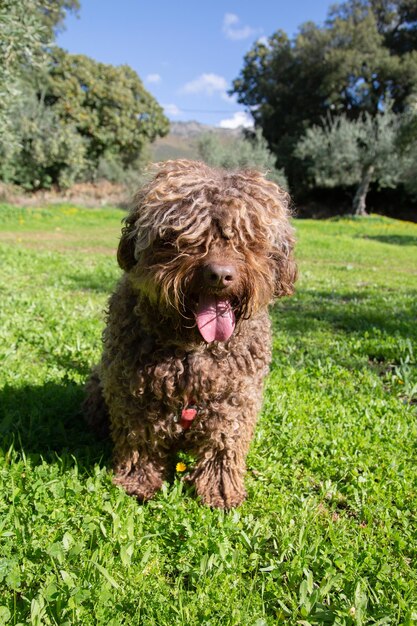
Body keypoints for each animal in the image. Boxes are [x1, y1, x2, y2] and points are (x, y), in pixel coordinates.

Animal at [83, 158, 294, 504]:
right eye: (183, 237)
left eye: (245, 239)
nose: (220, 275)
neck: (192, 348)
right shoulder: (133, 393)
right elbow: (140, 440)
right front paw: (137, 482)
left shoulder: (235, 401)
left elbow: (224, 443)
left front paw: (220, 490)